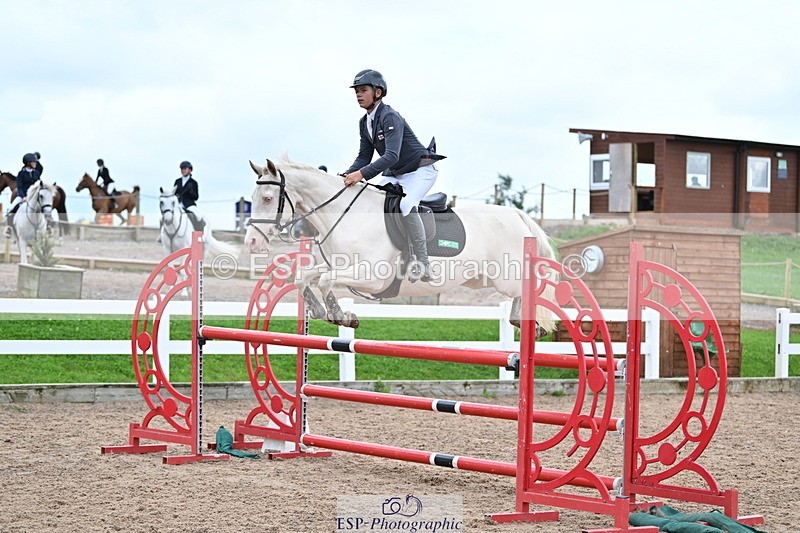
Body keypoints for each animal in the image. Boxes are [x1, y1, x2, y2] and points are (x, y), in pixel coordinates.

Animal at [244, 158, 557, 331]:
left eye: (268, 199)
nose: (251, 242)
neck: (347, 215)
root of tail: (517, 215)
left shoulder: (373, 276)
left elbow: (325, 280)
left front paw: (340, 316)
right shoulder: (338, 265)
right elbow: (305, 277)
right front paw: (323, 312)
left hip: (505, 278)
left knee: (527, 290)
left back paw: (530, 324)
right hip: (481, 279)